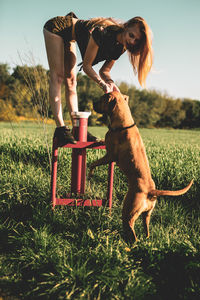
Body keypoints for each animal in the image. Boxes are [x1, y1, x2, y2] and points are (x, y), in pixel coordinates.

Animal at [88, 91, 192, 241]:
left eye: (102, 99)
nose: (93, 103)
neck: (124, 123)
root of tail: (151, 191)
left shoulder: (110, 156)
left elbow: (93, 163)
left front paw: (90, 173)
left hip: (128, 211)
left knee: (132, 233)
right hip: (146, 214)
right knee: (146, 230)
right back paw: (145, 240)